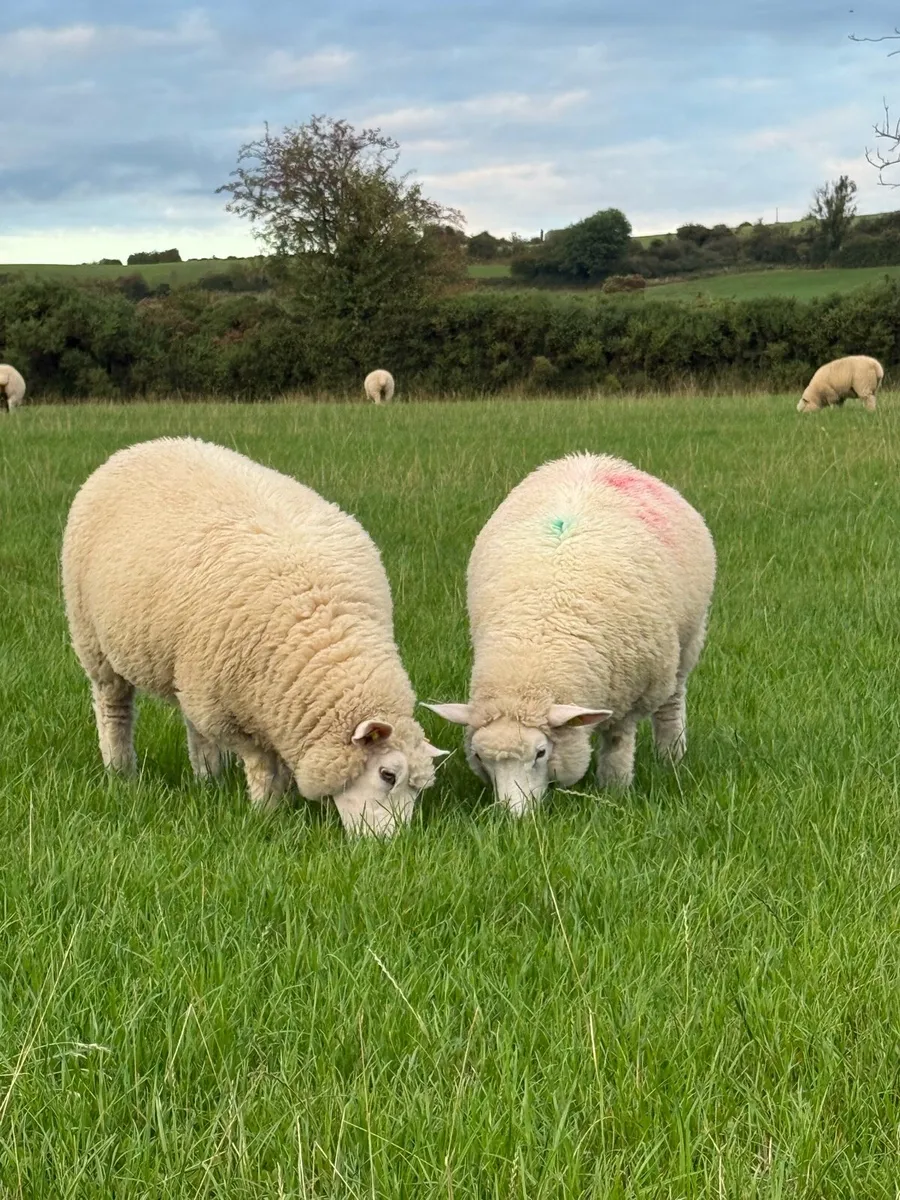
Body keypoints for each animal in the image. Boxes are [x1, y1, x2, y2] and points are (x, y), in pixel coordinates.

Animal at [61, 436, 445, 835]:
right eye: (388, 775)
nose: (392, 842)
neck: (326, 636)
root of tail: (144, 446)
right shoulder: (228, 712)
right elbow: (262, 763)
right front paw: (267, 811)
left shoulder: (277, 703)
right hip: (94, 640)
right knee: (114, 708)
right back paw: (121, 771)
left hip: (189, 668)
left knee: (192, 725)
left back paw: (207, 777)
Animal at [425, 452, 716, 813]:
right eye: (480, 757)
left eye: (540, 753)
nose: (512, 816)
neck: (535, 646)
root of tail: (595, 459)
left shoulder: (629, 694)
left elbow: (618, 742)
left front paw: (615, 789)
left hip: (689, 639)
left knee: (672, 703)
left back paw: (671, 756)